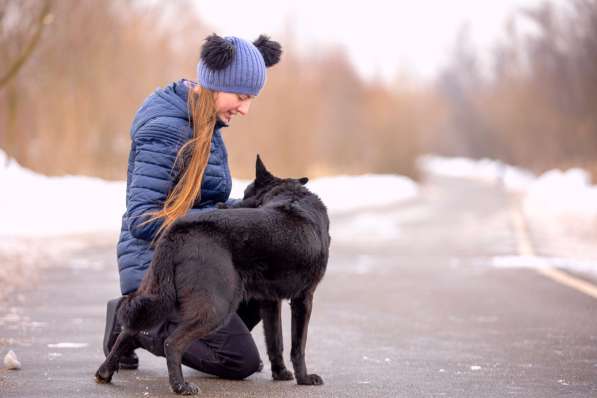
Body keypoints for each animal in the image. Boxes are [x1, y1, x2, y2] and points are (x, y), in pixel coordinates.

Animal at [95, 155, 332, 394]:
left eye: (246, 193)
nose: (223, 205)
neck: (290, 196)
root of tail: (178, 230)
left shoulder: (270, 302)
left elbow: (276, 342)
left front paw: (280, 373)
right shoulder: (304, 298)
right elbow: (297, 346)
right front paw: (304, 378)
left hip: (169, 295)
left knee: (131, 330)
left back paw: (106, 371)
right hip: (217, 307)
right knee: (171, 342)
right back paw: (180, 386)